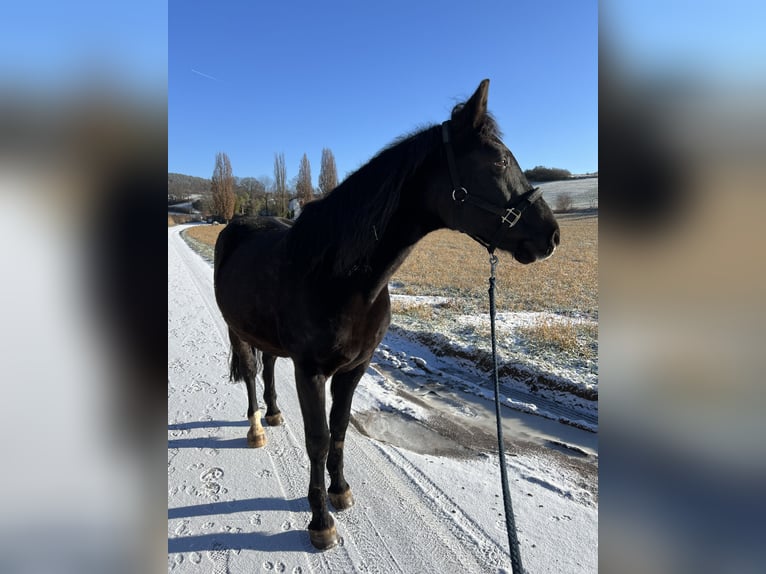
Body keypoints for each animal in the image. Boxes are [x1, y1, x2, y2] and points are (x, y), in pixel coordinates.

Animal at [213, 79, 560, 550]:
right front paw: (320, 521)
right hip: (236, 329)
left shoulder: (354, 369)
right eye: (500, 160)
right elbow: (318, 439)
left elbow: (340, 428)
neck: (340, 276)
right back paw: (256, 428)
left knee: (267, 367)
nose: (552, 236)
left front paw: (340, 491)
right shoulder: (310, 371)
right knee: (250, 371)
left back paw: (273, 413)